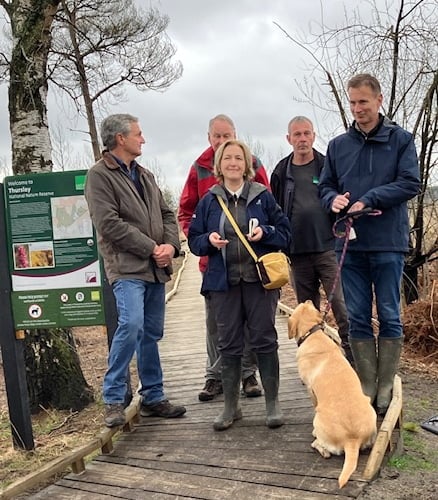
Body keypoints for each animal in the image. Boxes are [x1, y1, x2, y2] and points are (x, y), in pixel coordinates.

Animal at [288, 300, 376, 488]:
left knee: (322, 447)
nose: (307, 300)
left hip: (319, 419)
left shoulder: (310, 389)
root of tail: (352, 440)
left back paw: (317, 442)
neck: (313, 335)